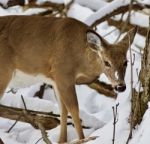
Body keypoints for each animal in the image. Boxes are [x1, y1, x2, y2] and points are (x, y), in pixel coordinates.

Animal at [0, 15, 136, 142]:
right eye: (106, 62)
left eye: (126, 62)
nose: (120, 86)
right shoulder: (63, 72)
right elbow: (74, 109)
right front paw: (82, 139)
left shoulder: (55, 80)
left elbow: (63, 110)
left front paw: (62, 140)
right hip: (4, 71)